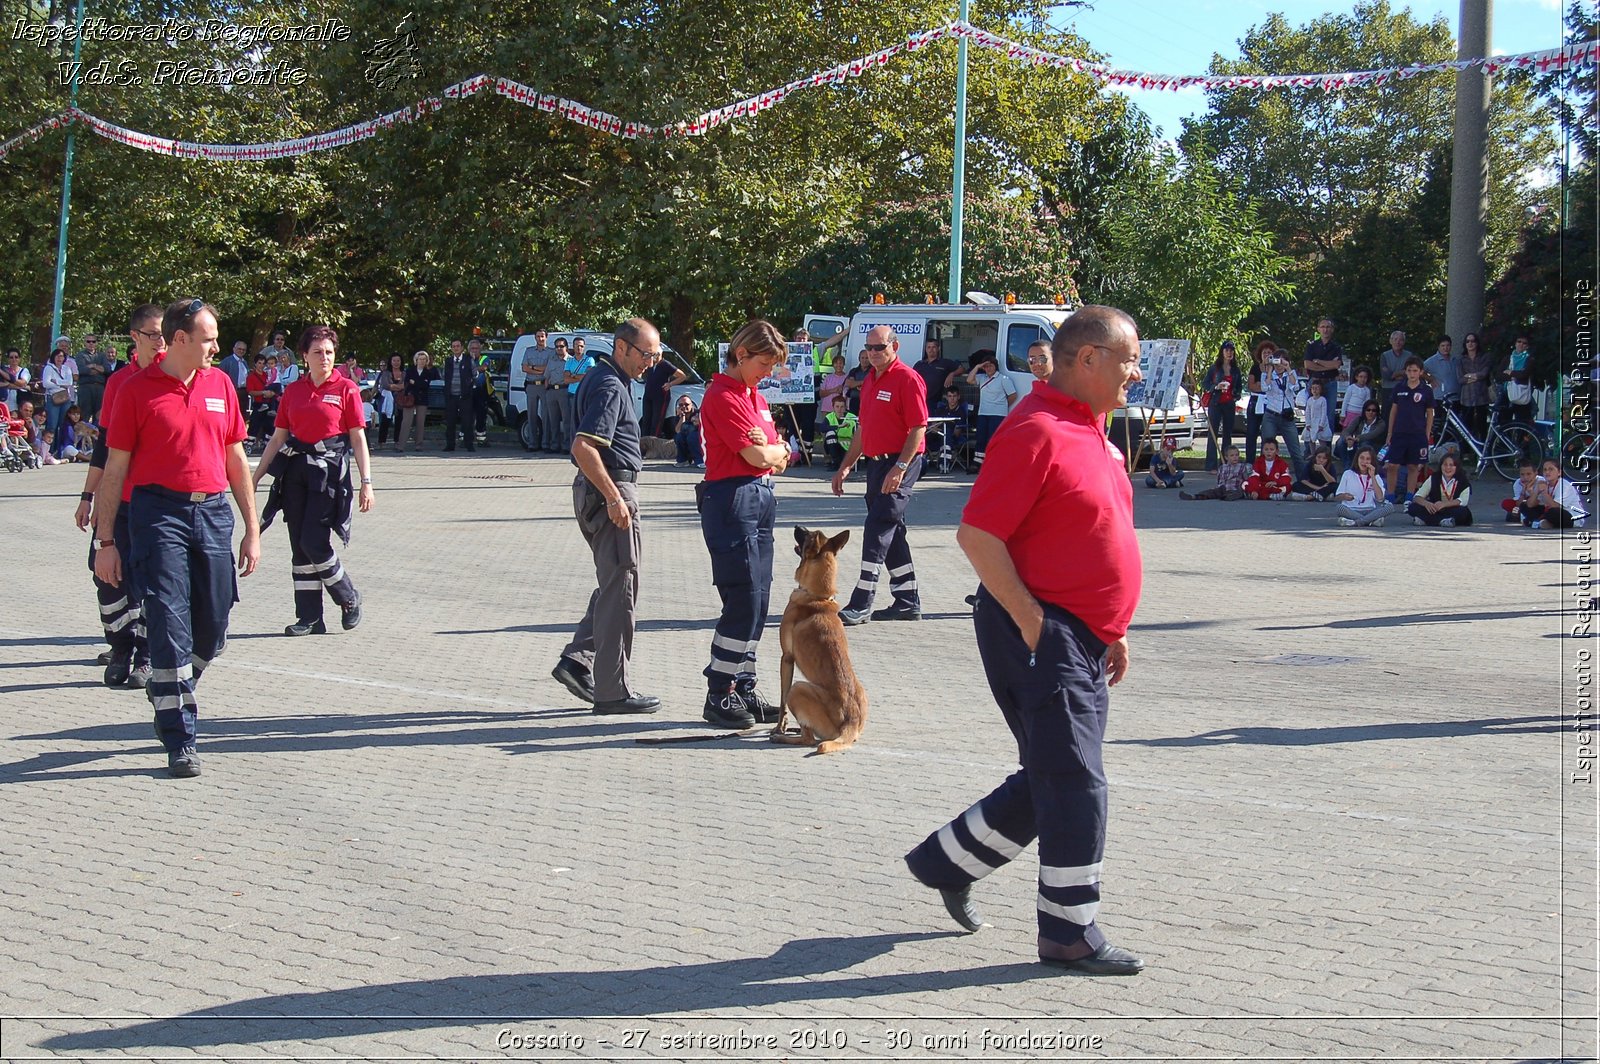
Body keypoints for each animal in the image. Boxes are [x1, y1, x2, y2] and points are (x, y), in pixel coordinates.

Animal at [771, 528, 864, 752]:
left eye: (808, 534)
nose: (797, 526)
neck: (817, 596)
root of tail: (851, 722)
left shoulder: (786, 658)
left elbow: (781, 702)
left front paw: (779, 727)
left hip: (797, 689)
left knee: (809, 739)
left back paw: (783, 737)